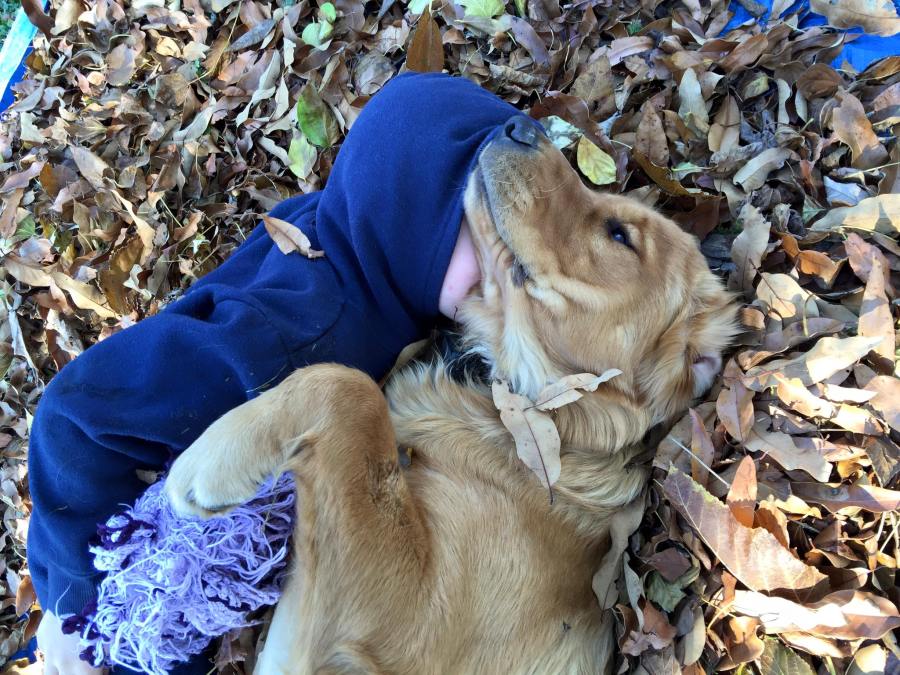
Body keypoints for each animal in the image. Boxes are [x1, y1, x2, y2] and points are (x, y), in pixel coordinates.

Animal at [166, 115, 738, 674]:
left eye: (619, 234)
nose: (521, 126)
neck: (534, 414)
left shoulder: (410, 625)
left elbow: (348, 385)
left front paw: (213, 459)